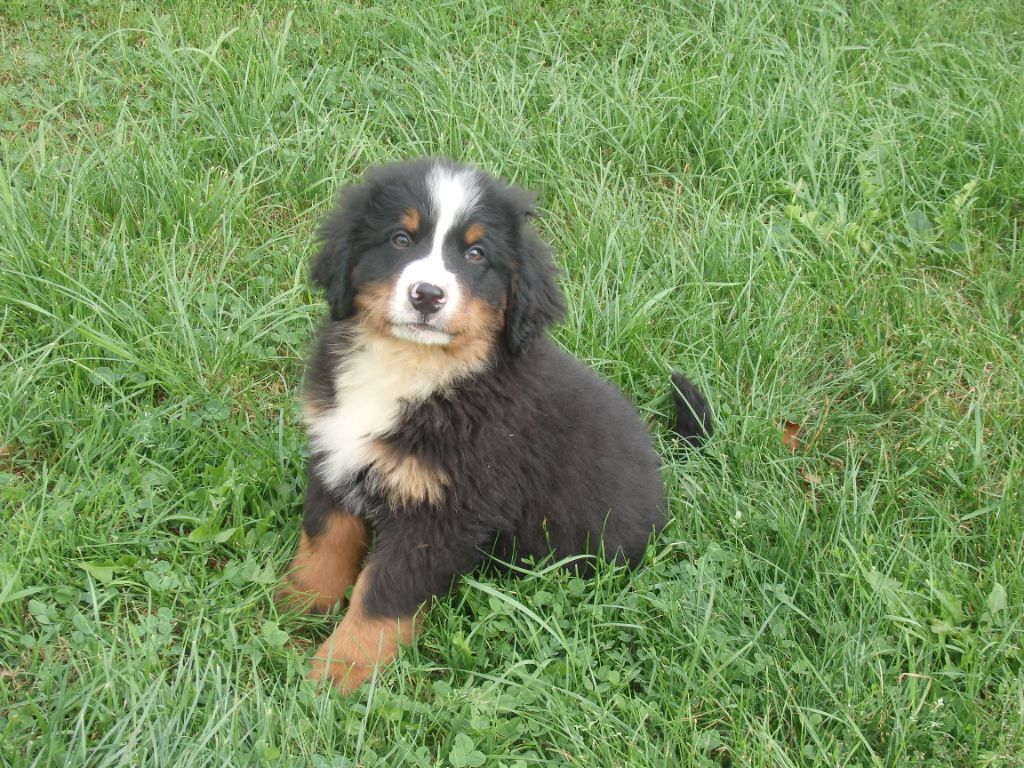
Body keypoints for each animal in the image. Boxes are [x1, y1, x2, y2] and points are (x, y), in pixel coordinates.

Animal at [280, 159, 712, 696]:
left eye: (476, 253)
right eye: (401, 239)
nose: (427, 295)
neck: (413, 368)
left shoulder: (446, 513)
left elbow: (382, 593)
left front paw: (342, 668)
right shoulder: (335, 451)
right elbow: (324, 539)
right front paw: (296, 603)